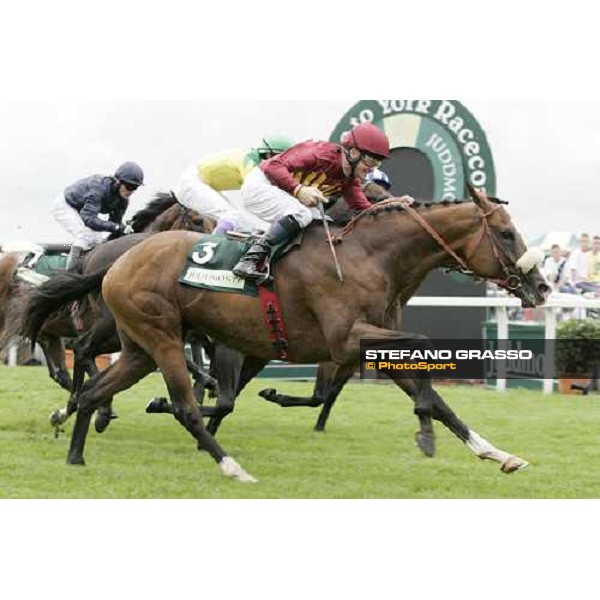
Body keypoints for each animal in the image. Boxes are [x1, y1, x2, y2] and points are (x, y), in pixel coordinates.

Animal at [22, 186, 548, 482]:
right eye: (505, 233)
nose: (541, 285)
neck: (370, 256)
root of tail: (118, 260)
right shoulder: (345, 338)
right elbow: (421, 359)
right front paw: (424, 429)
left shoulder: (361, 339)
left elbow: (439, 401)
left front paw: (497, 453)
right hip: (162, 338)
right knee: (181, 405)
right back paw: (232, 467)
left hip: (140, 348)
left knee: (95, 389)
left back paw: (75, 452)